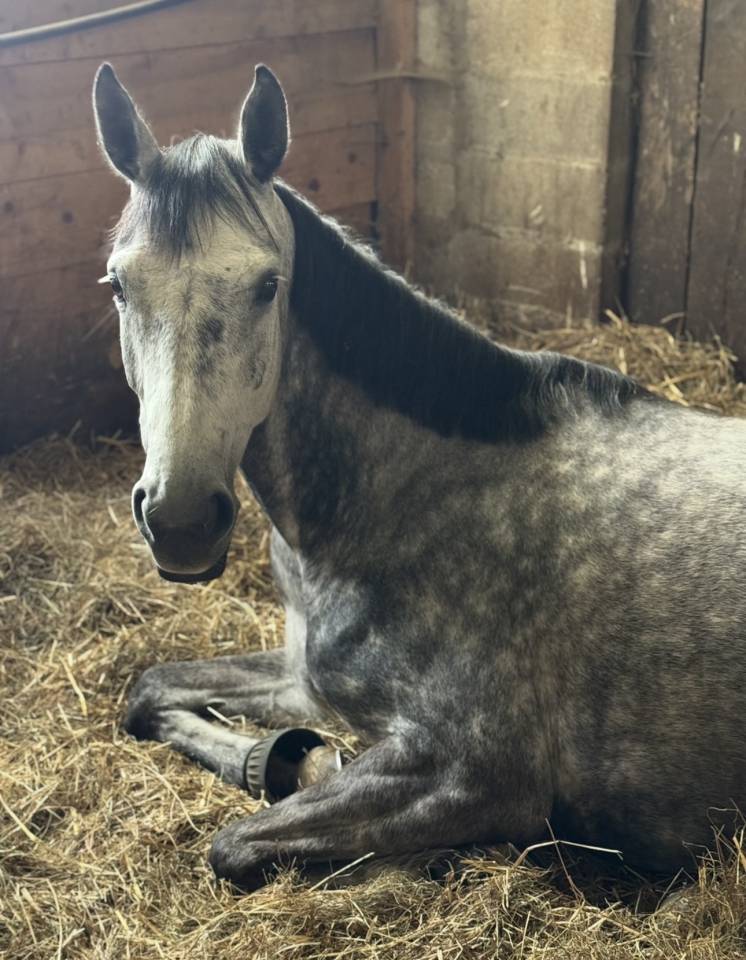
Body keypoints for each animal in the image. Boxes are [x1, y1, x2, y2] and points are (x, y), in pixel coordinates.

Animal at [93, 62, 746, 890]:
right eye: (120, 285)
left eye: (267, 286)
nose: (180, 522)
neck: (405, 499)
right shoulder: (302, 676)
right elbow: (147, 691)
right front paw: (273, 755)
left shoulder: (472, 774)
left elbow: (234, 842)